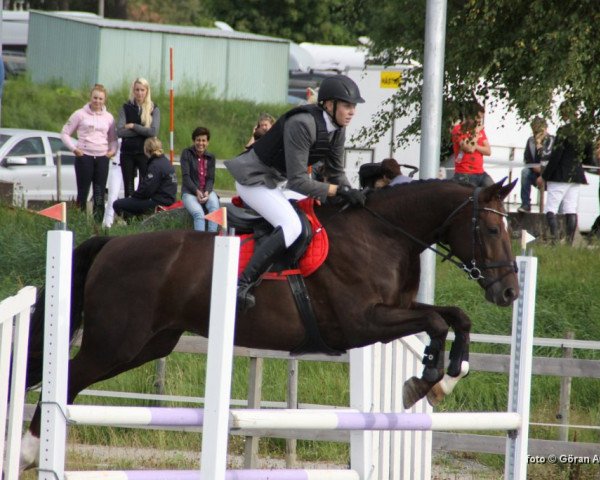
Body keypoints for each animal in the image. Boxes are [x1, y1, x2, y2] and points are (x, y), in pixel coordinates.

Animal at [19, 176, 520, 468]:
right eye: (492, 230)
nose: (510, 292)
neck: (383, 234)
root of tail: (110, 244)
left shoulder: (394, 311)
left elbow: (454, 317)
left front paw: (446, 377)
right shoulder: (362, 323)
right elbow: (436, 321)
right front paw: (425, 380)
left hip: (149, 345)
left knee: (72, 380)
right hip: (116, 342)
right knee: (66, 379)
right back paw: (29, 451)